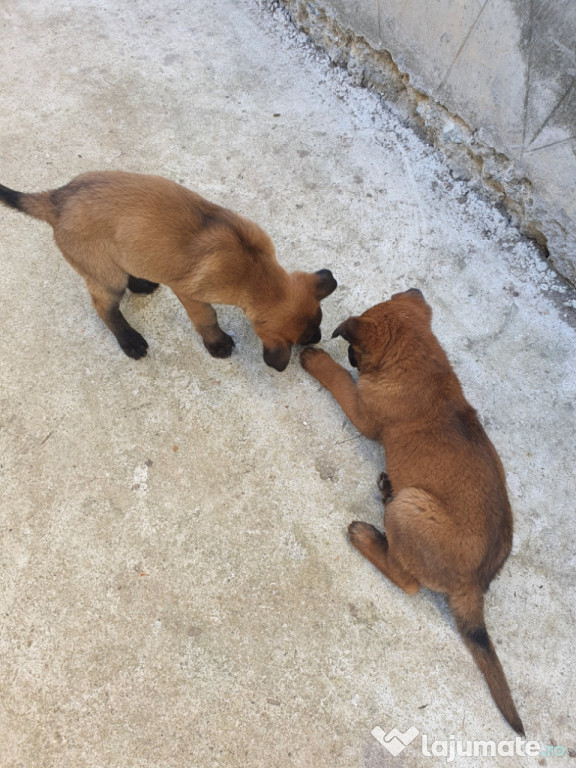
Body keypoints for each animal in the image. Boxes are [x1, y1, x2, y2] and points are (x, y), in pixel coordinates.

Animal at [0, 172, 336, 370]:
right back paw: (130, 340)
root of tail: (56, 200)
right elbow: (207, 318)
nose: (320, 337)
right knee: (104, 308)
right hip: (106, 276)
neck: (254, 266)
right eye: (307, 338)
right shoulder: (191, 294)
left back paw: (141, 283)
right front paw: (217, 343)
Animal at [300, 286, 524, 732]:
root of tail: (475, 586)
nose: (350, 356)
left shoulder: (364, 413)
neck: (425, 367)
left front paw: (319, 360)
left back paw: (367, 537)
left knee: (406, 580)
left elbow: (339, 380)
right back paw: (386, 489)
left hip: (411, 508)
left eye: (354, 349)